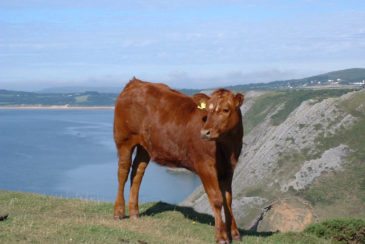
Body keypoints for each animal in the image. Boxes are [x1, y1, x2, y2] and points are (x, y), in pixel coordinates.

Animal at [112, 77, 243, 242]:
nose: (205, 132)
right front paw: (221, 236)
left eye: (226, 109)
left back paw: (134, 212)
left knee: (137, 173)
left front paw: (235, 233)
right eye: (207, 110)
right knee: (122, 172)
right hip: (124, 140)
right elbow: (217, 199)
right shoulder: (205, 166)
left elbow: (229, 200)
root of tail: (135, 82)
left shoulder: (229, 168)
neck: (227, 148)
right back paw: (118, 212)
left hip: (145, 147)